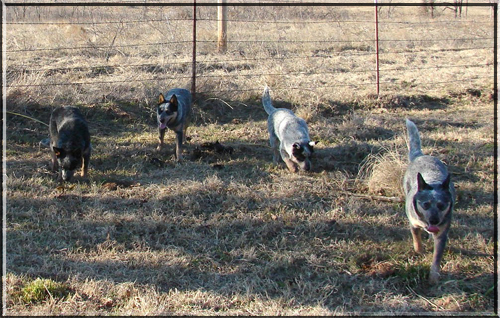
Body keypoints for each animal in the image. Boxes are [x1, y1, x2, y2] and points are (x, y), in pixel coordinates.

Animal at [404, 118, 456, 284]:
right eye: (425, 204)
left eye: (442, 205)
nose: (433, 221)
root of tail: (420, 155)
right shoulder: (414, 223)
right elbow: (416, 238)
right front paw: (419, 251)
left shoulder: (442, 233)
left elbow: (437, 257)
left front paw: (433, 277)